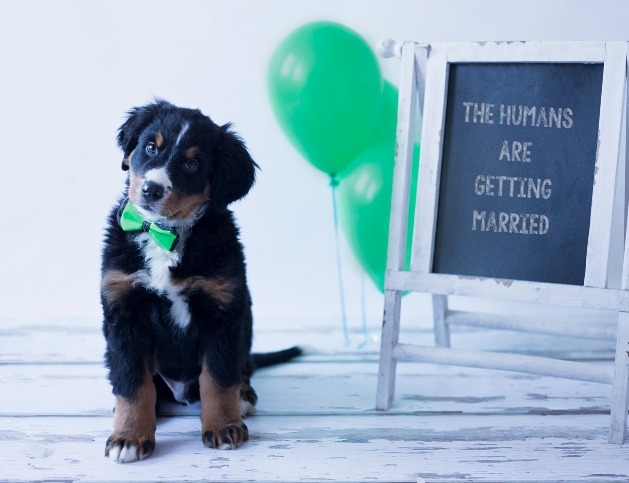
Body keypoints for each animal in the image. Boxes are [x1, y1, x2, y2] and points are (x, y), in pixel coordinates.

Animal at [101, 99, 302, 466]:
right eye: (150, 147)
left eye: (193, 164)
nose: (151, 189)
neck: (166, 234)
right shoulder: (124, 313)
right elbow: (132, 382)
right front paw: (129, 437)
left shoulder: (222, 312)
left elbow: (218, 378)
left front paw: (223, 427)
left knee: (241, 368)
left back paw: (244, 396)